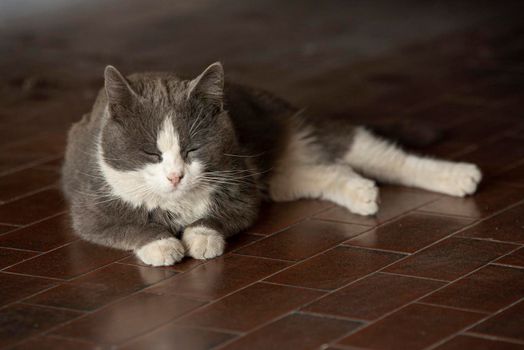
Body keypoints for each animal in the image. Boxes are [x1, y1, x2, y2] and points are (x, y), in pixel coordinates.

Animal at [62, 62, 484, 266]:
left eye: (193, 149)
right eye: (151, 152)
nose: (176, 175)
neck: (176, 205)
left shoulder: (240, 189)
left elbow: (219, 218)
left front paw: (202, 239)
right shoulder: (90, 206)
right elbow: (125, 227)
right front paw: (163, 245)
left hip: (290, 130)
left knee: (375, 153)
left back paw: (461, 176)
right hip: (280, 179)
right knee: (326, 171)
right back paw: (362, 193)